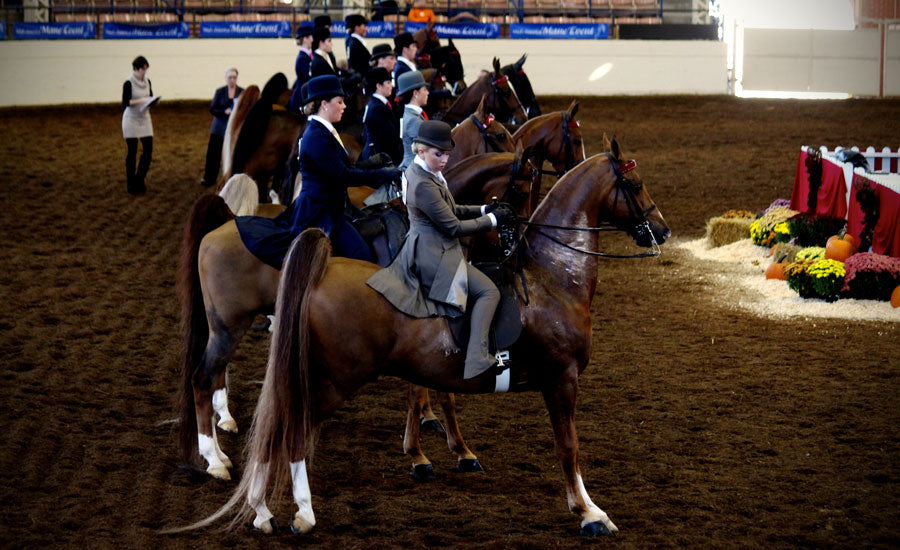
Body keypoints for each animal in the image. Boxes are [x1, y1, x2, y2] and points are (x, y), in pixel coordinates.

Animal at [177, 149, 540, 480]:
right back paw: (215, 459)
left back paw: (222, 431)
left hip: (224, 326)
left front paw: (458, 449)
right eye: (521, 192)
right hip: (229, 325)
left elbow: (441, 389)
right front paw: (424, 455)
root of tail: (226, 222)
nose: (516, 249)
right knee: (204, 376)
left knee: (213, 372)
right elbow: (428, 390)